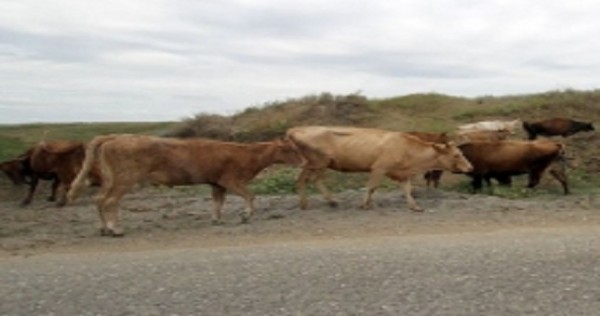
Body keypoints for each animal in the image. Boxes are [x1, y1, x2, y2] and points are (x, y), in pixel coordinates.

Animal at [68, 134, 302, 237]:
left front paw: (216, 219)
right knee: (110, 201)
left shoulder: (217, 182)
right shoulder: (231, 180)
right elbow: (250, 195)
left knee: (99, 199)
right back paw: (115, 229)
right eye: (290, 149)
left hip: (110, 179)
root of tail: (116, 137)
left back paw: (103, 228)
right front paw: (246, 215)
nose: (302, 161)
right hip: (125, 178)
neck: (248, 154)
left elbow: (218, 202)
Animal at [286, 126, 474, 212]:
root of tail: (296, 129)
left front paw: (415, 206)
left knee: (306, 180)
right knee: (310, 180)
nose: (470, 167)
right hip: (319, 162)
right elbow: (371, 187)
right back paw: (319, 202)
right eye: (456, 154)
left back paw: (316, 203)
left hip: (314, 164)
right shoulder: (379, 168)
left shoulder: (402, 174)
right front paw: (364, 204)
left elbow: (407, 190)